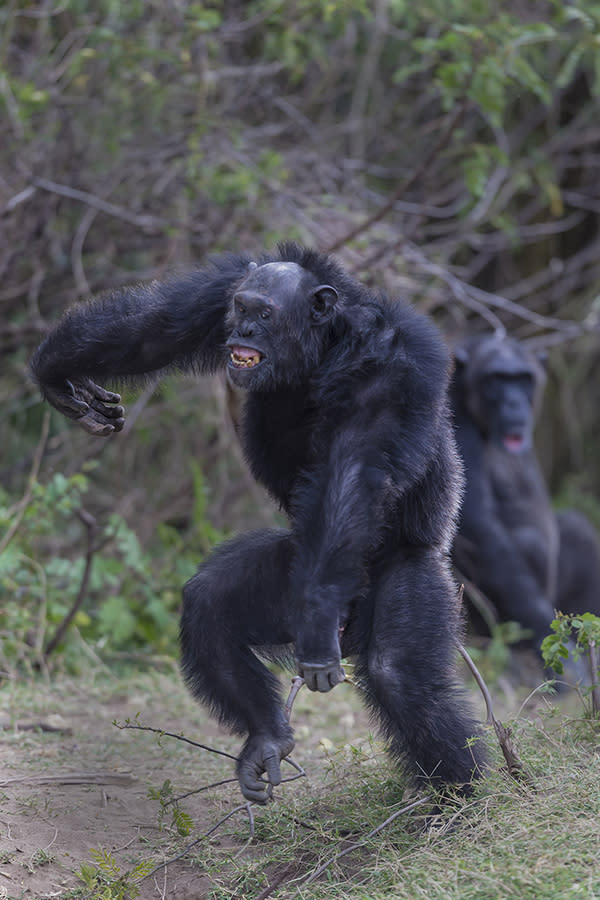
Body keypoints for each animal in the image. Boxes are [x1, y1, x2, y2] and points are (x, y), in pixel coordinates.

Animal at [30, 244, 486, 800]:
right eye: (242, 307)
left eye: (265, 314)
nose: (245, 329)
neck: (322, 345)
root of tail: (350, 625)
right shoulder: (213, 299)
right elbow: (150, 332)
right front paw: (54, 374)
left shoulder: (392, 363)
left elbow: (355, 468)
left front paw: (318, 615)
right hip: (287, 575)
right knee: (209, 604)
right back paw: (267, 735)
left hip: (413, 573)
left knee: (398, 673)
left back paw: (458, 800)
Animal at [450, 332, 600, 668]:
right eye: (497, 379)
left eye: (522, 379)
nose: (514, 401)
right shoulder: (455, 429)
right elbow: (481, 532)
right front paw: (559, 648)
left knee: (577, 529)